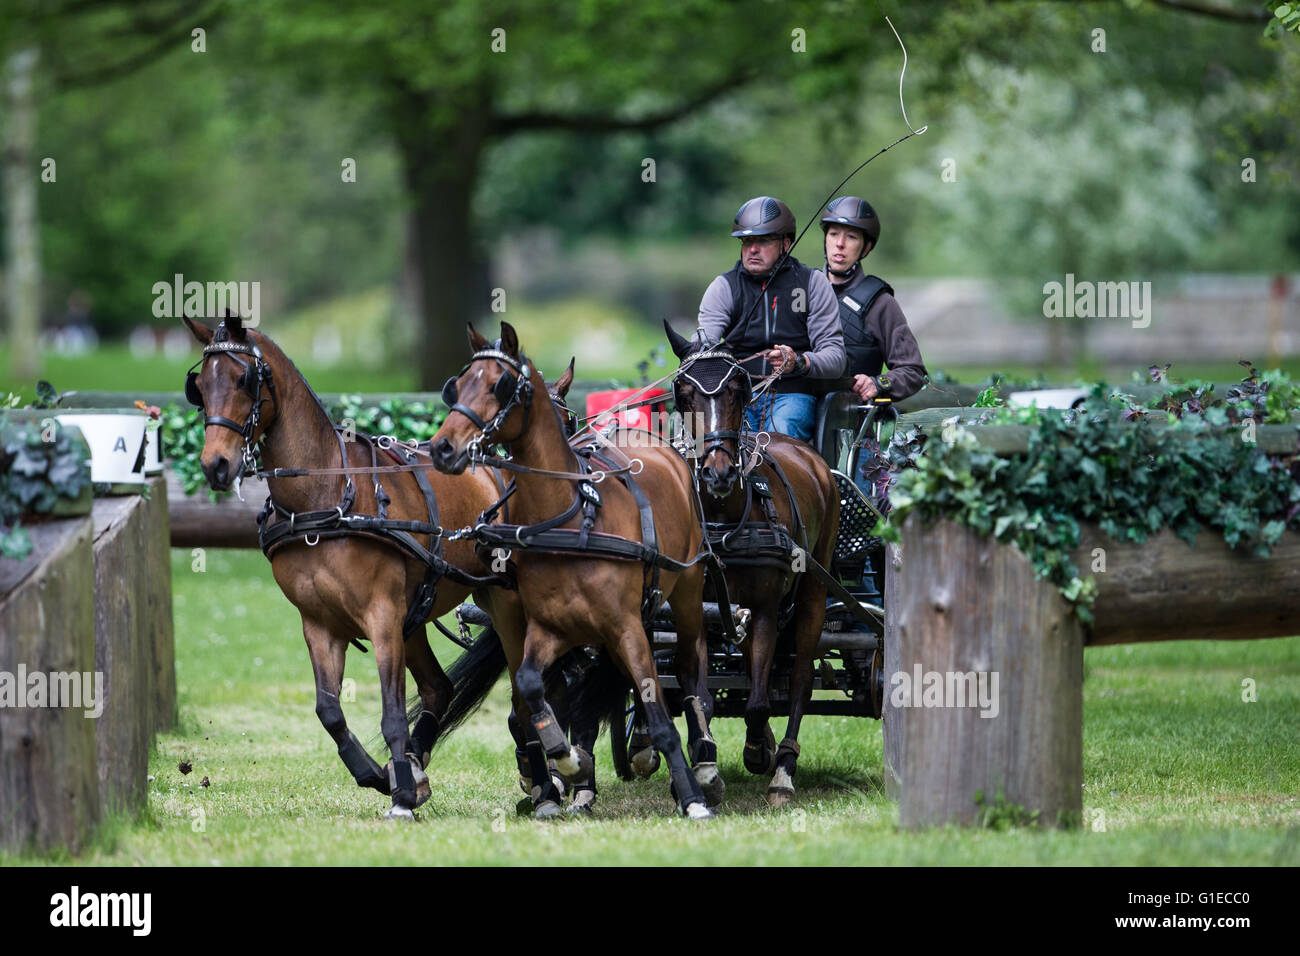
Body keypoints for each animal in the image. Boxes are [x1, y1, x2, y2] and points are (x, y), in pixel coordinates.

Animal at [184, 316, 517, 822]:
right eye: (200, 387)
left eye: (244, 379)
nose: (215, 466)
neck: (325, 500)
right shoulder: (320, 624)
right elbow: (330, 712)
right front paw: (381, 775)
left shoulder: (381, 616)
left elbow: (392, 712)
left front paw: (401, 796)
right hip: (413, 617)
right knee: (437, 688)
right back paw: (414, 766)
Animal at [434, 323, 722, 822]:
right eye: (457, 383)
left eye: (499, 385)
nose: (443, 447)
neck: (568, 520)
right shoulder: (548, 628)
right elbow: (532, 689)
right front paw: (565, 765)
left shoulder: (620, 625)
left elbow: (656, 708)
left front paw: (689, 796)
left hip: (685, 591)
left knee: (689, 674)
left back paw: (702, 762)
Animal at [665, 323, 837, 806]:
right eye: (683, 393)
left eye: (738, 389)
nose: (718, 473)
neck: (725, 518)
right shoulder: (700, 610)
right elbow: (700, 697)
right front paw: (704, 765)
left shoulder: (764, 609)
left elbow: (759, 702)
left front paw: (760, 750)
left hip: (815, 592)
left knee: (799, 681)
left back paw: (783, 768)